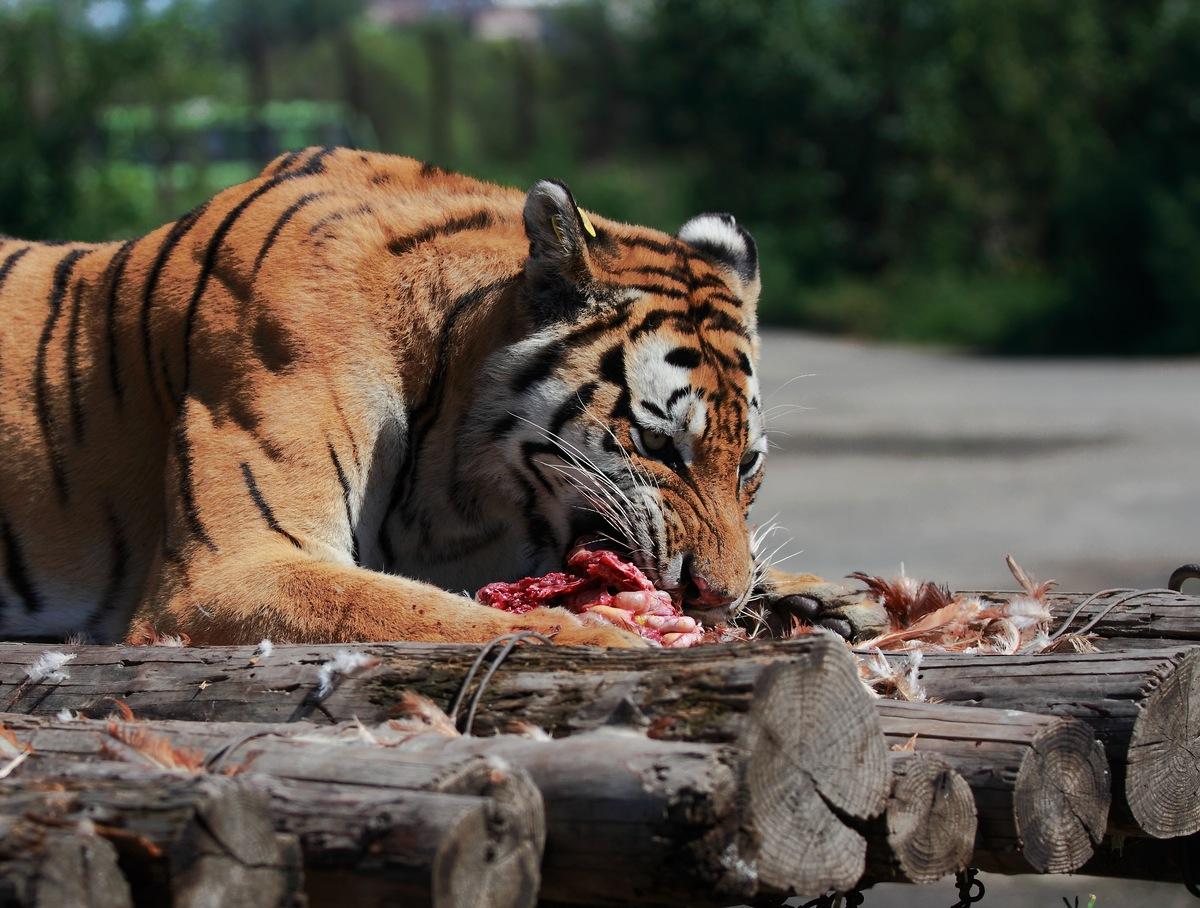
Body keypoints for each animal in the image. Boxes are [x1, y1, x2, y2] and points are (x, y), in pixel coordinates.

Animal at [0, 146, 868, 642]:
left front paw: (824, 596)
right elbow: (425, 611)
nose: (713, 599)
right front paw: (612, 641)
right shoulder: (232, 567)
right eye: (657, 443)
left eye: (747, 464)